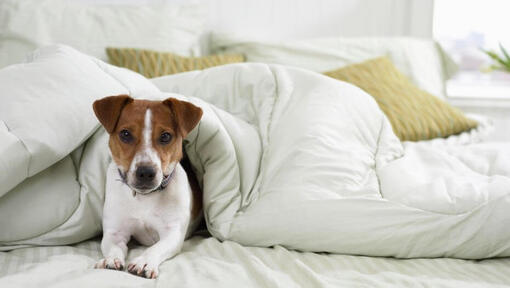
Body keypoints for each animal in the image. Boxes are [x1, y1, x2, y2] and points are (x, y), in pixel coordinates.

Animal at [91, 95, 203, 280]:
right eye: (125, 134)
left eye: (165, 136)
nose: (145, 172)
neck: (144, 198)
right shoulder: (115, 232)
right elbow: (113, 247)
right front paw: (110, 259)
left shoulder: (172, 233)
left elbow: (155, 248)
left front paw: (143, 262)